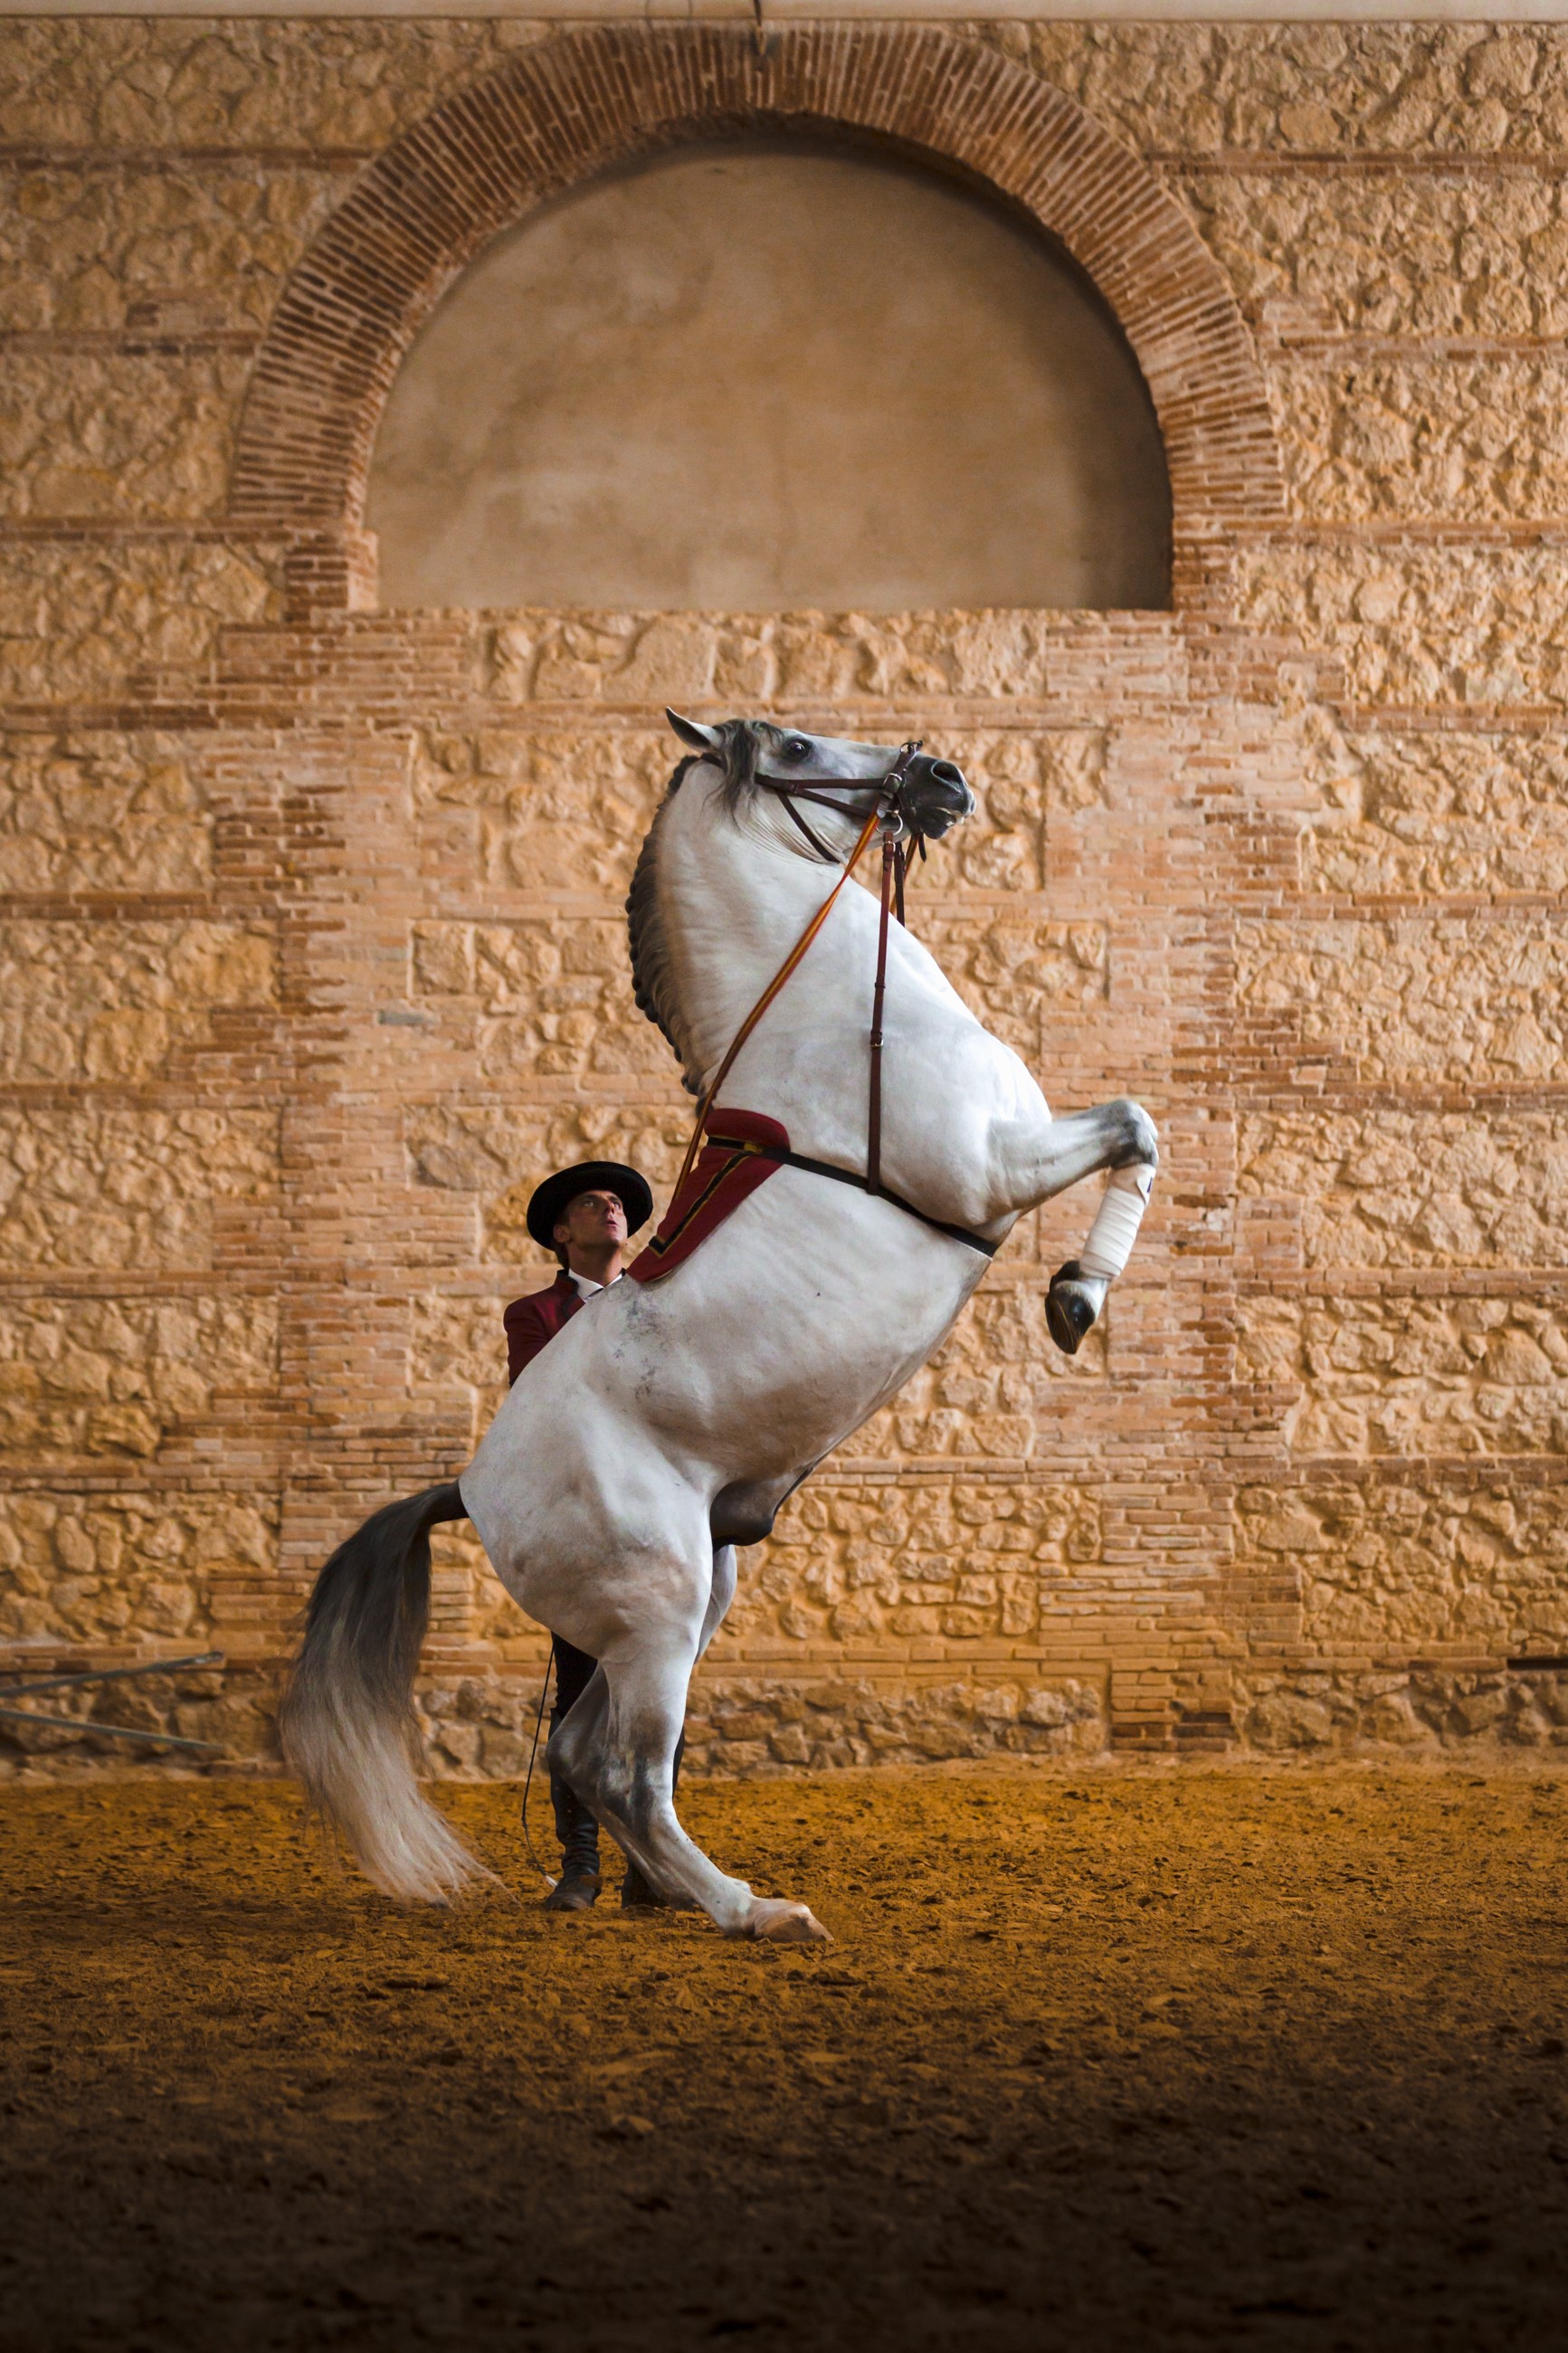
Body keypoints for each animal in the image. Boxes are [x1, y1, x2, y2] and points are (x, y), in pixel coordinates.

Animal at [281, 706, 1161, 1939]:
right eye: (792, 744)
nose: (943, 776)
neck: (836, 1022)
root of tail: (466, 1489)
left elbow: (1138, 1123)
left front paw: (1078, 1295)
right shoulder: (995, 1168)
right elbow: (1134, 1121)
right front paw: (1076, 1296)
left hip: (684, 1603)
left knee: (578, 1751)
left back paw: (670, 1895)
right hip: (661, 1609)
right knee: (622, 1771)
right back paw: (754, 1910)